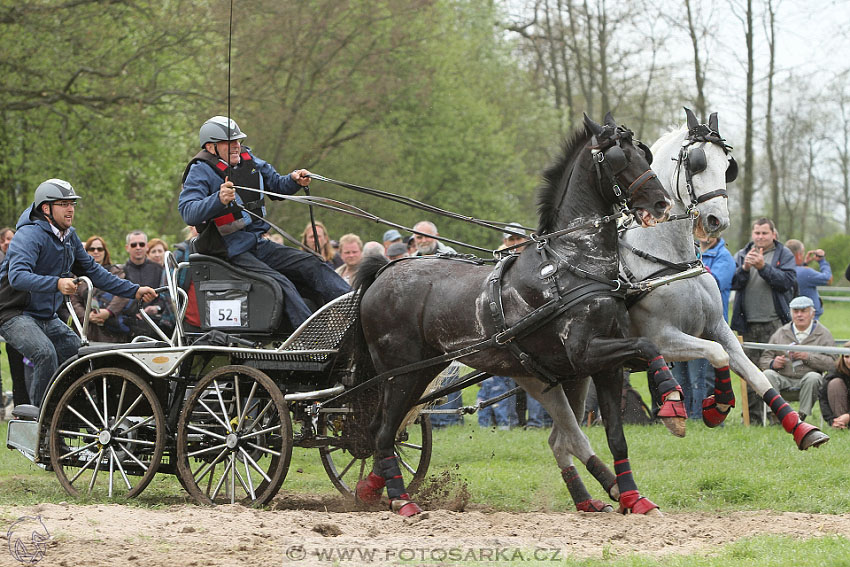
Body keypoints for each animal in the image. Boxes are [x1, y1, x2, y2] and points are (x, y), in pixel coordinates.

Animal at [350, 113, 684, 516]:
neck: (573, 262)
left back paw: (372, 488)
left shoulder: (605, 366)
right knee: (383, 432)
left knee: (384, 429)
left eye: (643, 153)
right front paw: (674, 405)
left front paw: (634, 496)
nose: (662, 203)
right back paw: (400, 499)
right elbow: (649, 346)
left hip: (423, 371)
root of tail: (384, 271)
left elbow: (617, 435)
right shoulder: (585, 353)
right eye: (620, 158)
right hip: (400, 373)